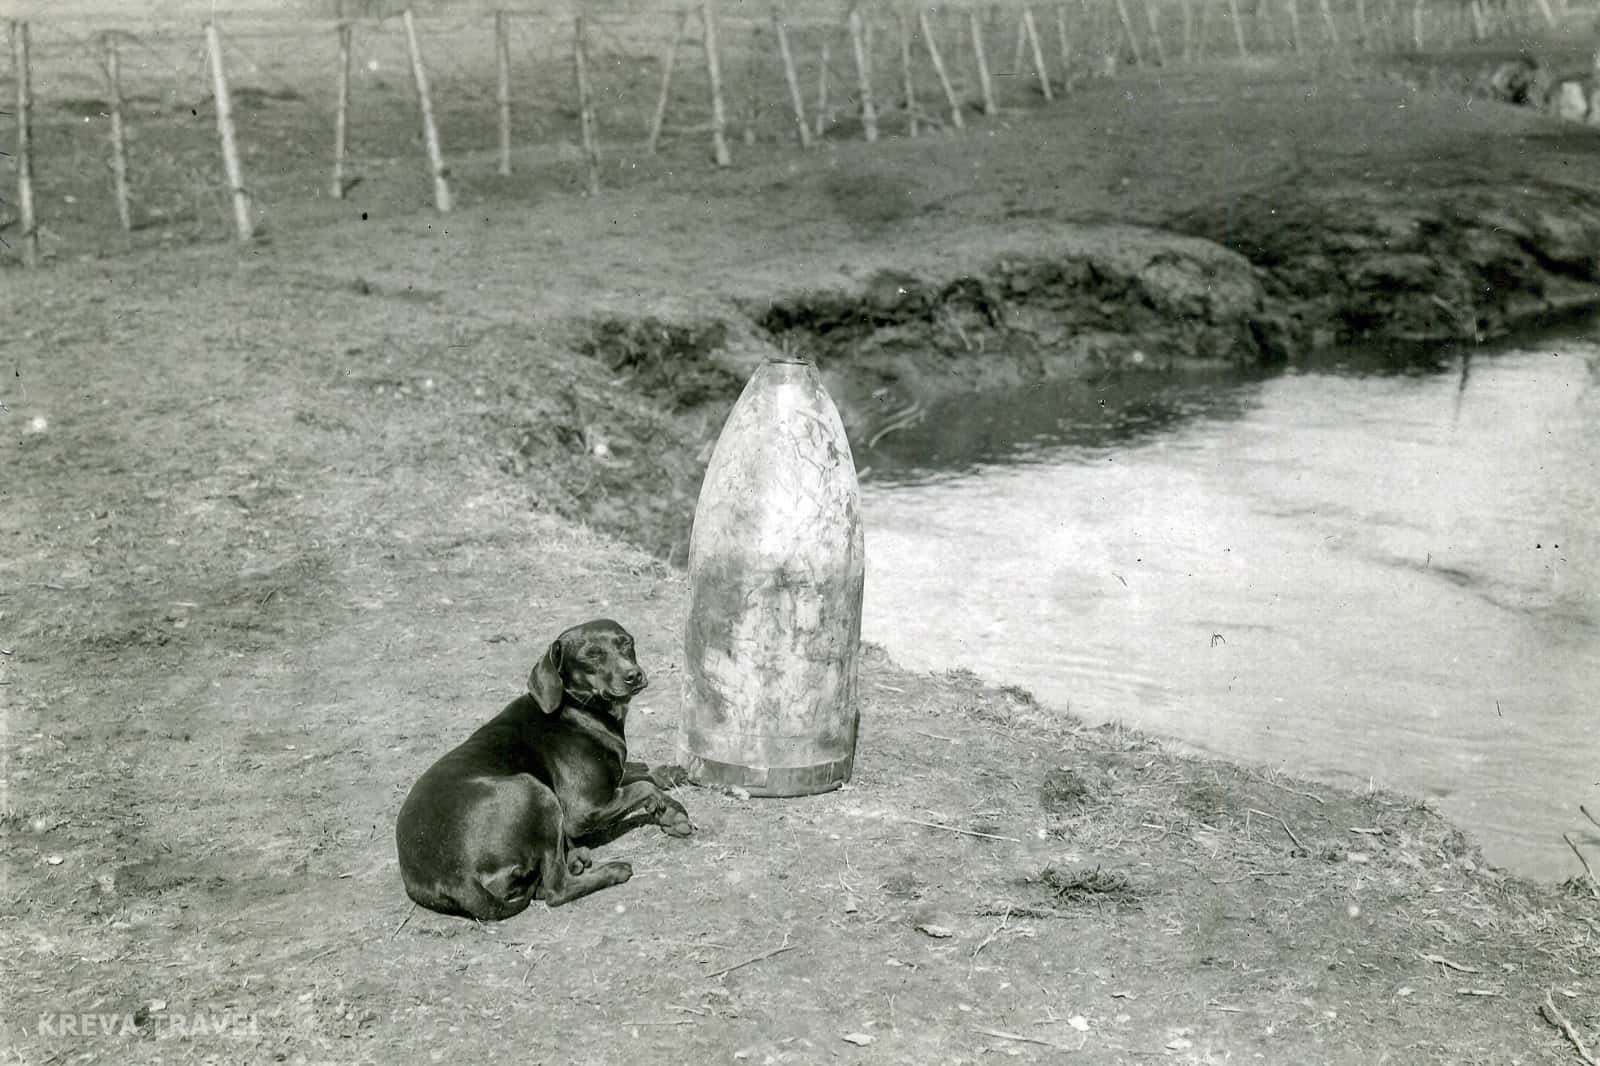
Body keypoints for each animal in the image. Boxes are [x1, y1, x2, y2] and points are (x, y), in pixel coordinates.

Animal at [396, 617, 691, 915]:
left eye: (626, 643)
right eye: (591, 655)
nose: (634, 675)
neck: (578, 707)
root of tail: (460, 882)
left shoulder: (612, 774)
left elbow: (638, 768)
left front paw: (669, 776)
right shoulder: (583, 808)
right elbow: (642, 787)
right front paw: (668, 811)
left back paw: (576, 857)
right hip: (536, 790)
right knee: (556, 889)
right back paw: (612, 870)